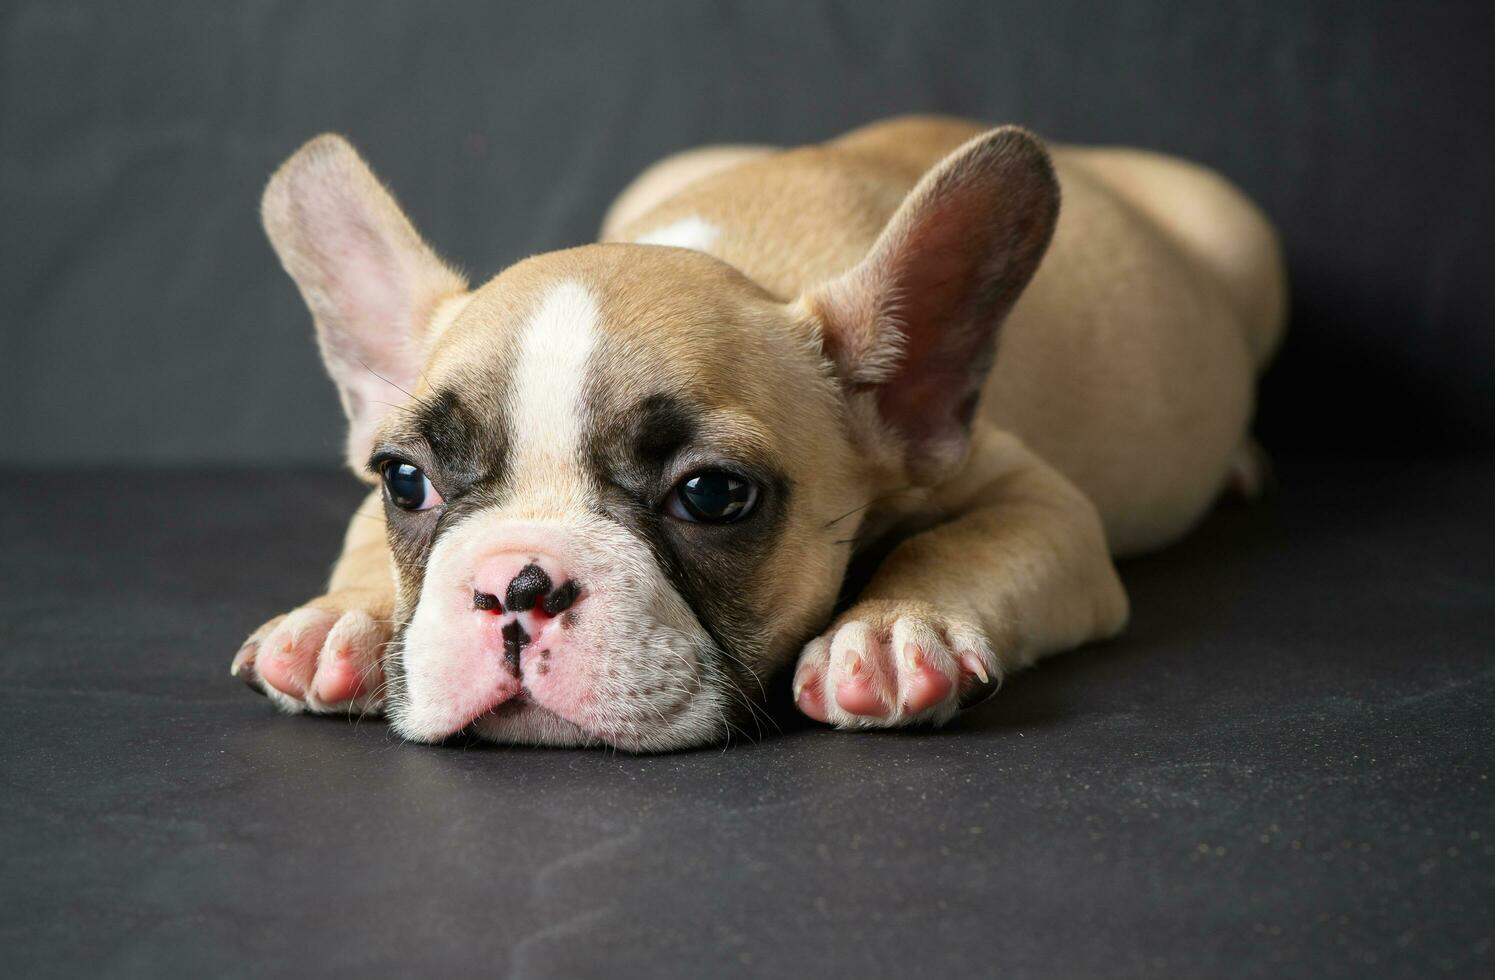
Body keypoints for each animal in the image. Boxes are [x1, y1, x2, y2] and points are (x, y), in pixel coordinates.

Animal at [230, 118, 1285, 752]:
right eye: (405, 481)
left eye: (710, 496)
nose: (512, 585)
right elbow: (358, 548)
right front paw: (340, 619)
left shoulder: (1040, 503)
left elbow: (968, 538)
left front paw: (894, 632)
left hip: (1244, 238)